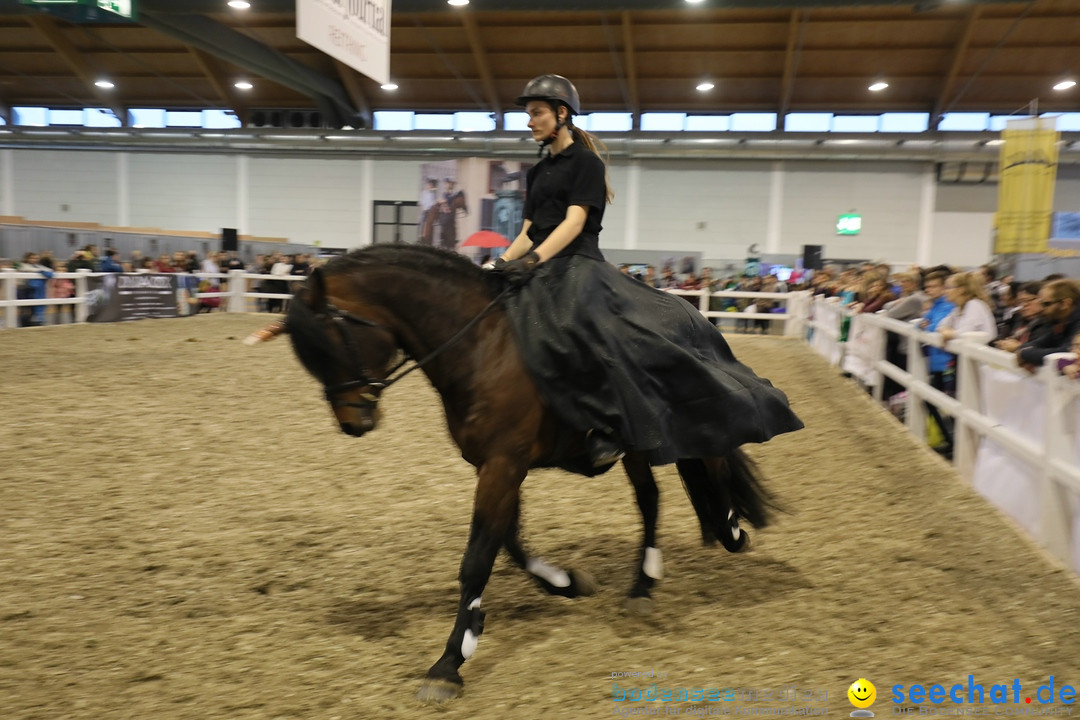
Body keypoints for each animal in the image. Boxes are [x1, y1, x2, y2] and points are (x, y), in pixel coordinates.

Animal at [250, 246, 777, 703]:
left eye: (330, 343)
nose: (353, 424)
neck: (480, 346)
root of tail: (690, 310)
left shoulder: (504, 464)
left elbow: (477, 559)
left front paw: (449, 664)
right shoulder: (498, 465)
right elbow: (508, 541)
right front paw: (563, 582)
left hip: (671, 421)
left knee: (712, 458)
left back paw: (729, 530)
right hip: (637, 444)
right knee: (650, 499)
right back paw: (644, 584)